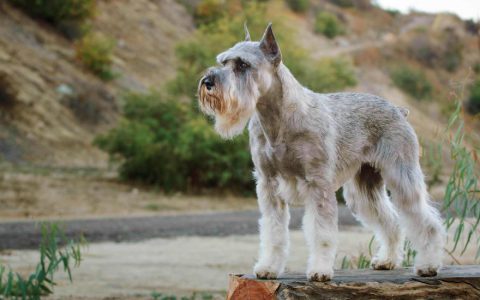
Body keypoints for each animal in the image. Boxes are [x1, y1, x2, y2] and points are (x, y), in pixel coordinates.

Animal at [197, 23, 444, 282]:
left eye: (243, 65)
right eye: (223, 61)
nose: (208, 81)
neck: (278, 119)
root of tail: (398, 109)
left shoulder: (318, 184)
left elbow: (321, 233)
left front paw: (320, 270)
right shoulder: (268, 184)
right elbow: (273, 232)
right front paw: (268, 267)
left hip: (402, 176)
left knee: (426, 221)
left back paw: (428, 265)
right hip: (363, 189)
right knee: (391, 221)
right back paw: (387, 260)